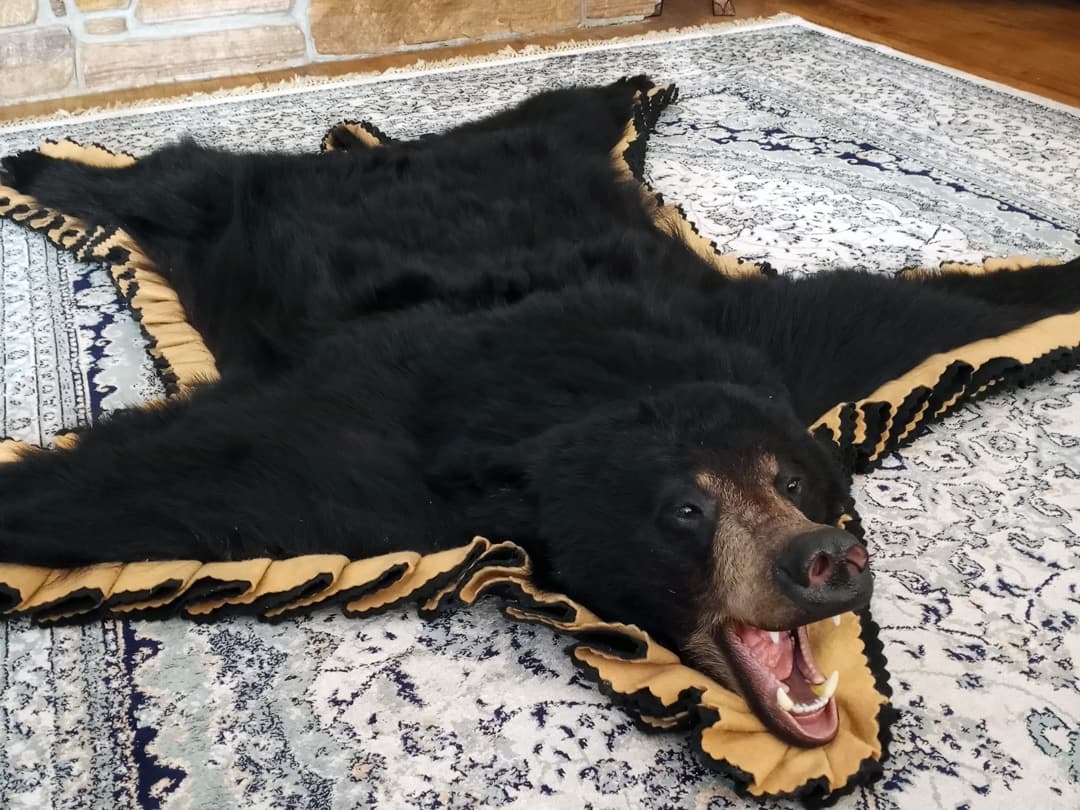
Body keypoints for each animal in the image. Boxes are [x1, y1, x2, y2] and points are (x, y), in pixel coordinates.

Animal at [1, 76, 1078, 747]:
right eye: (684, 511)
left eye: (794, 480)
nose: (825, 559)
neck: (602, 387)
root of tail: (375, 157)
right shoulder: (396, 443)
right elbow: (211, 471)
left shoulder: (780, 347)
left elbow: (914, 309)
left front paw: (1055, 276)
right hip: (245, 207)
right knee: (186, 178)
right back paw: (39, 168)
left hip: (529, 153)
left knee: (559, 108)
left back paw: (627, 88)